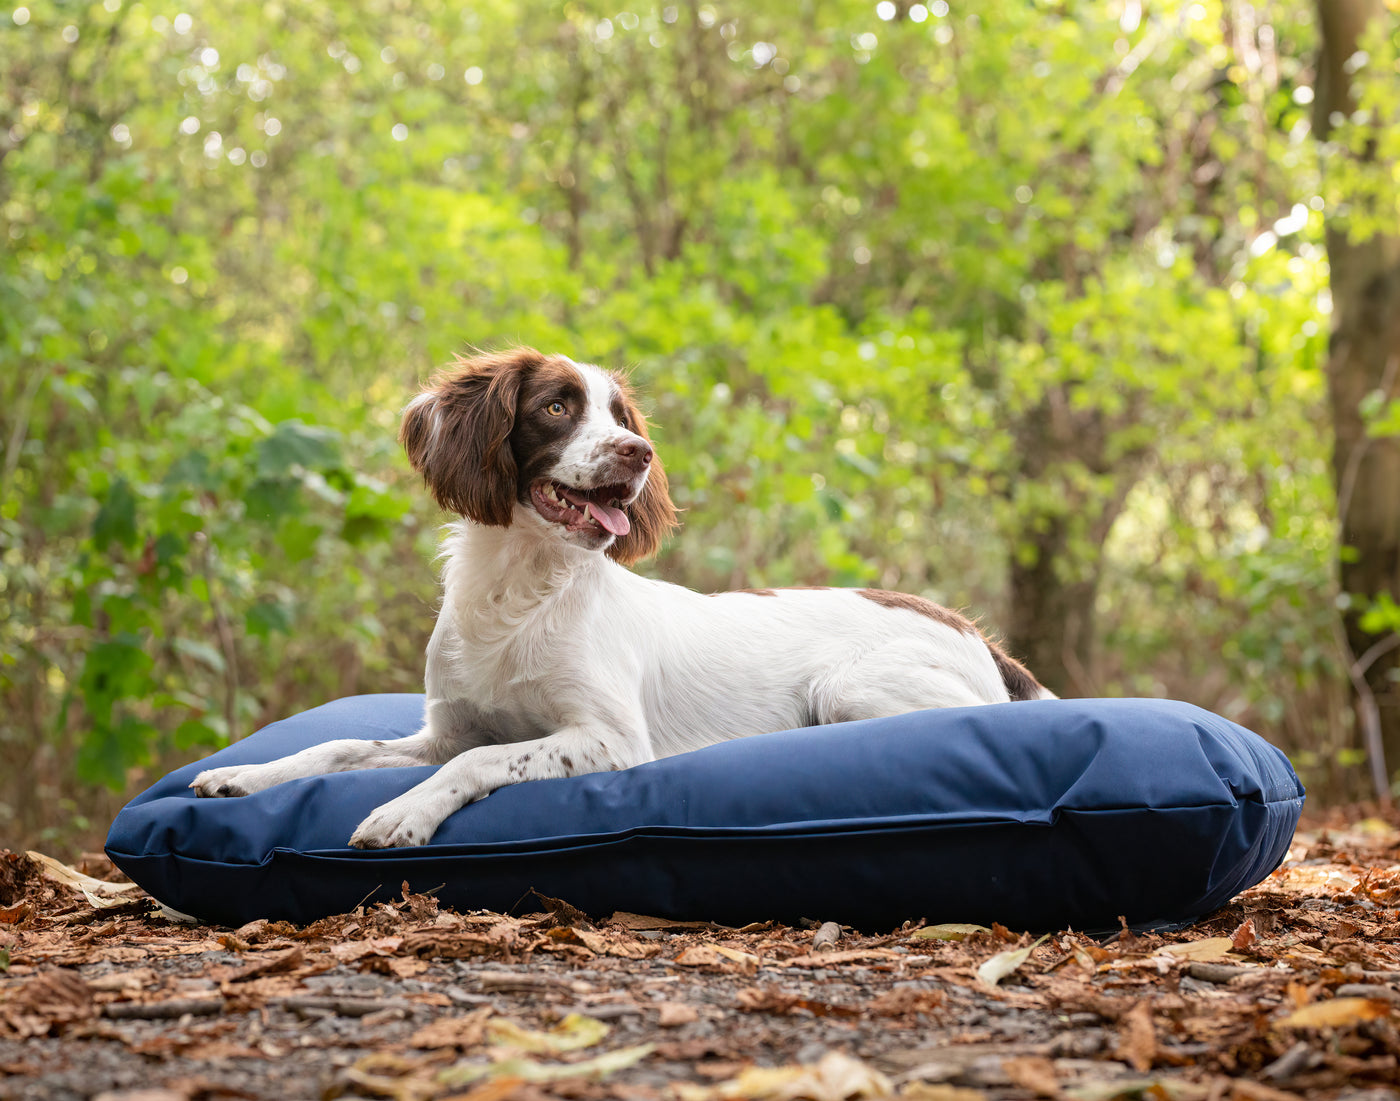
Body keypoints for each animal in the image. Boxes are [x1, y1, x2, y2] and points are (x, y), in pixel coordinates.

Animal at [194, 347, 1052, 846]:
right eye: (556, 406)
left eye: (621, 415)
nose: (639, 453)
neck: (519, 590)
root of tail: (976, 634)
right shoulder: (446, 728)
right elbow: (339, 745)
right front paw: (246, 774)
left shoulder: (610, 739)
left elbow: (480, 762)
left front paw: (403, 810)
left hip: (850, 689)